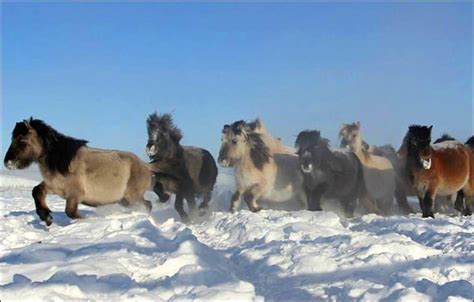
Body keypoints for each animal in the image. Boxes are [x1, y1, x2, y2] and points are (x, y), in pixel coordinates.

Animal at [3, 119, 154, 225]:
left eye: (22, 140)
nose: (7, 163)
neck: (62, 161)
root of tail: (147, 166)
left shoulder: (75, 194)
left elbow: (70, 212)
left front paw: (85, 220)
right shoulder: (54, 186)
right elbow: (37, 191)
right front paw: (46, 217)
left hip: (133, 196)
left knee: (148, 204)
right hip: (125, 200)